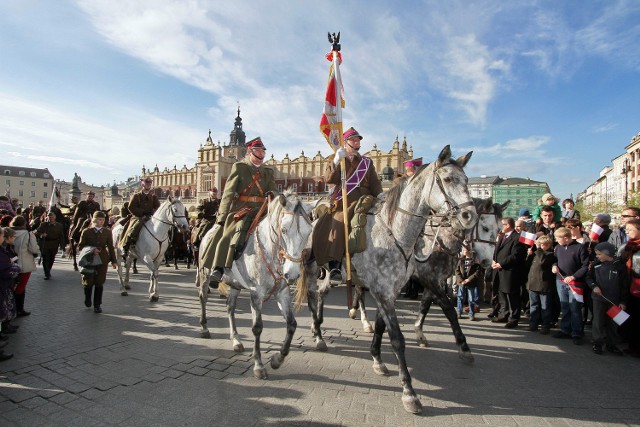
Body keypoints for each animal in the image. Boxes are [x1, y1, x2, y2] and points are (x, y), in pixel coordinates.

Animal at [196, 192, 314, 380]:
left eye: (309, 231)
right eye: (284, 229)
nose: (293, 274)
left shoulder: (282, 293)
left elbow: (292, 324)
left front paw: (277, 359)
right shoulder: (256, 294)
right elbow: (257, 327)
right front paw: (258, 365)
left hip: (235, 285)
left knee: (230, 307)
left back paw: (236, 340)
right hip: (204, 274)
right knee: (203, 297)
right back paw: (205, 328)